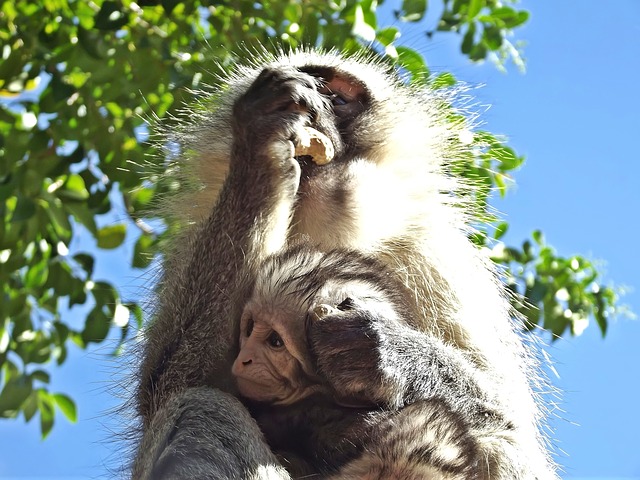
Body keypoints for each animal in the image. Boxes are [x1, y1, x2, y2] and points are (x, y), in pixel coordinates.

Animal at [132, 49, 558, 479]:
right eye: (306, 91)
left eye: (336, 97)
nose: (314, 114)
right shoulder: (189, 242)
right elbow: (171, 384)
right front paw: (263, 150)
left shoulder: (437, 254)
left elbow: (509, 425)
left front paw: (385, 349)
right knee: (202, 406)